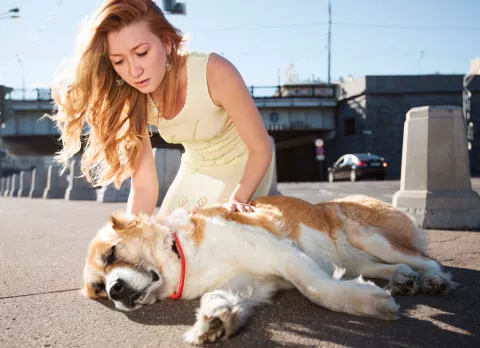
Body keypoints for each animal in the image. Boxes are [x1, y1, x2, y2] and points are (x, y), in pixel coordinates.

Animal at [82, 196, 458, 346]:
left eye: (112, 254)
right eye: (99, 288)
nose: (115, 291)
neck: (185, 254)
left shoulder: (279, 253)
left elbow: (316, 289)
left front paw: (369, 304)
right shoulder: (250, 283)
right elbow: (217, 297)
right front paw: (214, 321)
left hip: (368, 237)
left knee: (426, 259)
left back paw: (434, 280)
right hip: (358, 259)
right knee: (397, 265)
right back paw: (403, 280)